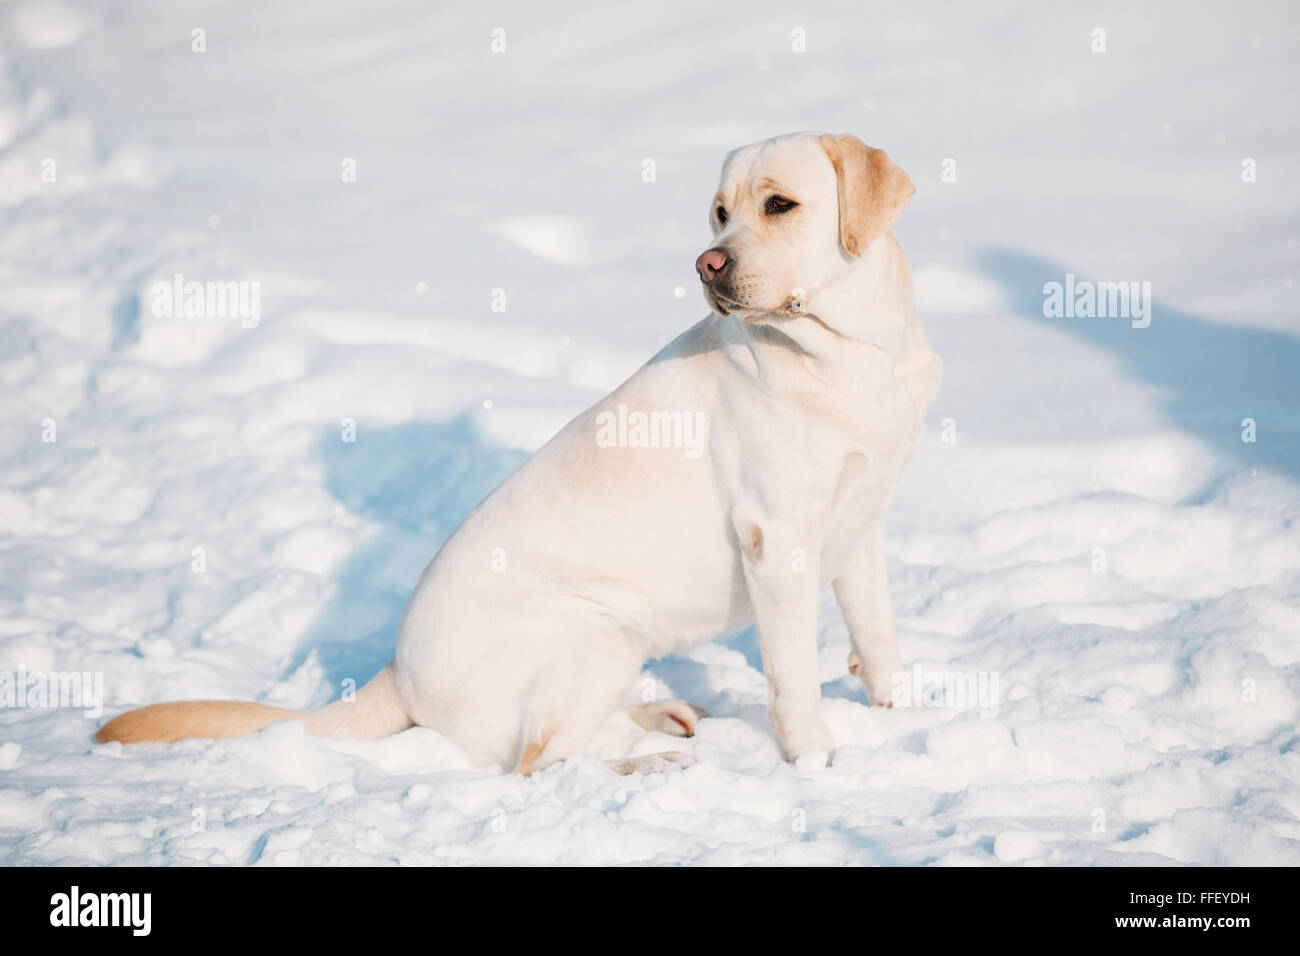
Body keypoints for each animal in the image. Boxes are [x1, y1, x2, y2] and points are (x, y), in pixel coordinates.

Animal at [98, 132, 935, 780]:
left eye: (779, 205)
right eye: (720, 213)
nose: (708, 263)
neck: (849, 354)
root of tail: (396, 671)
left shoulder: (860, 525)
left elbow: (878, 634)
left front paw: (901, 713)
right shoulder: (777, 545)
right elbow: (793, 680)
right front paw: (818, 764)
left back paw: (662, 713)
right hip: (600, 630)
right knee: (540, 762)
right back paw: (648, 762)